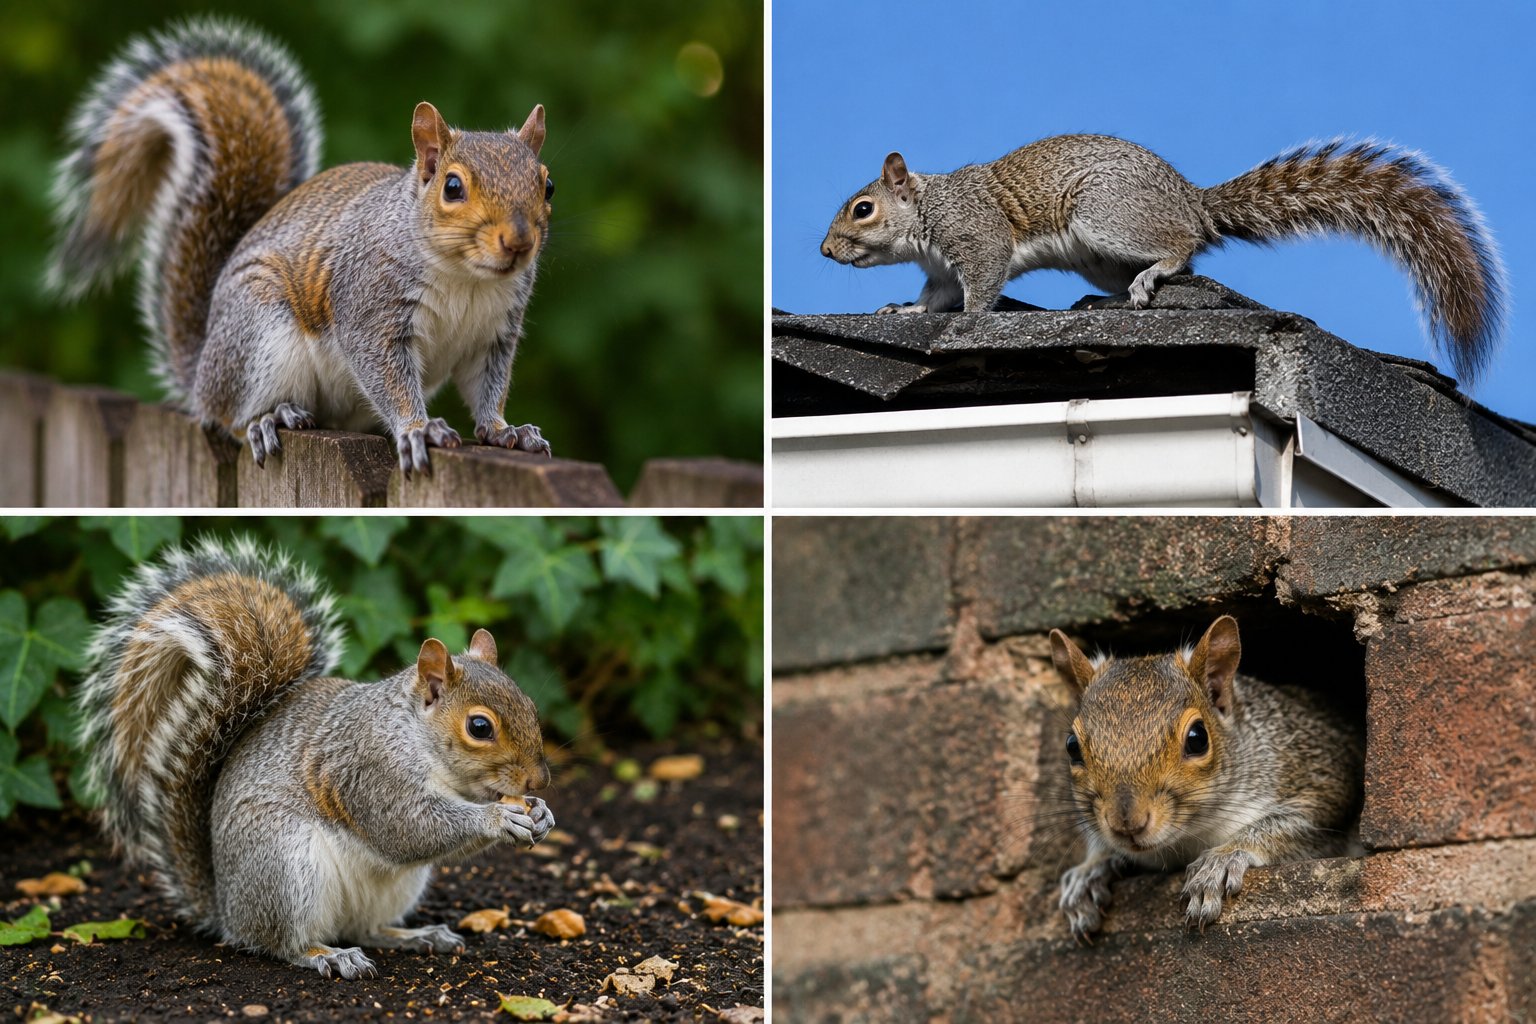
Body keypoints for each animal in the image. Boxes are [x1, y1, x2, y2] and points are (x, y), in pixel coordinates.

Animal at [48, 17, 554, 474]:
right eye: (452, 187)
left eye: (547, 186)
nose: (519, 242)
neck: (465, 278)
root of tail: (202, 373)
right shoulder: (369, 305)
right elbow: (385, 374)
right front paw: (418, 428)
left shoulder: (494, 334)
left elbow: (487, 388)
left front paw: (504, 430)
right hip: (257, 334)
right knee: (227, 416)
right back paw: (268, 419)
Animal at [77, 536, 555, 979]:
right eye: (480, 727)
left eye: (531, 705)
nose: (538, 782)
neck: (416, 737)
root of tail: (227, 909)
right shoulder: (370, 768)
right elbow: (406, 827)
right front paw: (498, 818)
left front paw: (540, 813)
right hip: (287, 866)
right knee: (282, 943)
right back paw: (328, 955)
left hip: (394, 886)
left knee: (365, 928)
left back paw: (415, 935)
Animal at [820, 134, 1507, 382]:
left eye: (862, 209)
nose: (825, 250)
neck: (929, 211)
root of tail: (1192, 203)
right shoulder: (940, 268)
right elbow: (931, 298)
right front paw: (902, 310)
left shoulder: (978, 239)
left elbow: (980, 289)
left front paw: (970, 321)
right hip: (1099, 250)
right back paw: (1105, 298)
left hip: (1106, 218)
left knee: (1181, 252)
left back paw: (1153, 272)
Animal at [1048, 616, 1362, 941]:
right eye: (1072, 746)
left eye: (1198, 738)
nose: (1127, 824)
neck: (1187, 839)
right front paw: (1089, 871)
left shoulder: (1320, 780)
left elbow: (1290, 825)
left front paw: (1222, 859)